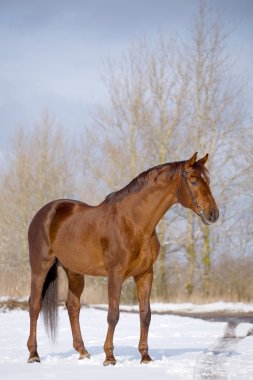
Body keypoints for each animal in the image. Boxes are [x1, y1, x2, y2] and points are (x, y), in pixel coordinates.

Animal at [26, 151, 218, 366]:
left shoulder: (145, 274)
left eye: (208, 179)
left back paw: (83, 351)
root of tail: (43, 213)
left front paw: (145, 357)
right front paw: (109, 357)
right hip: (40, 267)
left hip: (74, 271)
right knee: (34, 305)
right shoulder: (115, 274)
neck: (133, 222)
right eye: (193, 181)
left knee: (73, 306)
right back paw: (33, 354)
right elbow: (113, 314)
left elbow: (145, 314)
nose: (213, 214)